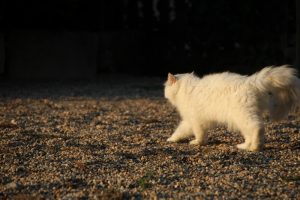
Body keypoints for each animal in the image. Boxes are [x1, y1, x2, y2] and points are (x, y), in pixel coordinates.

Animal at [164, 65, 300, 151]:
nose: (165, 94)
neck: (187, 89)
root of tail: (251, 81)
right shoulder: (189, 121)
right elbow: (180, 131)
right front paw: (172, 139)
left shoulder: (196, 120)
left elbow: (198, 134)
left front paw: (197, 142)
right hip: (242, 120)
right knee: (250, 134)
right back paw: (245, 146)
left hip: (242, 116)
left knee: (257, 128)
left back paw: (254, 148)